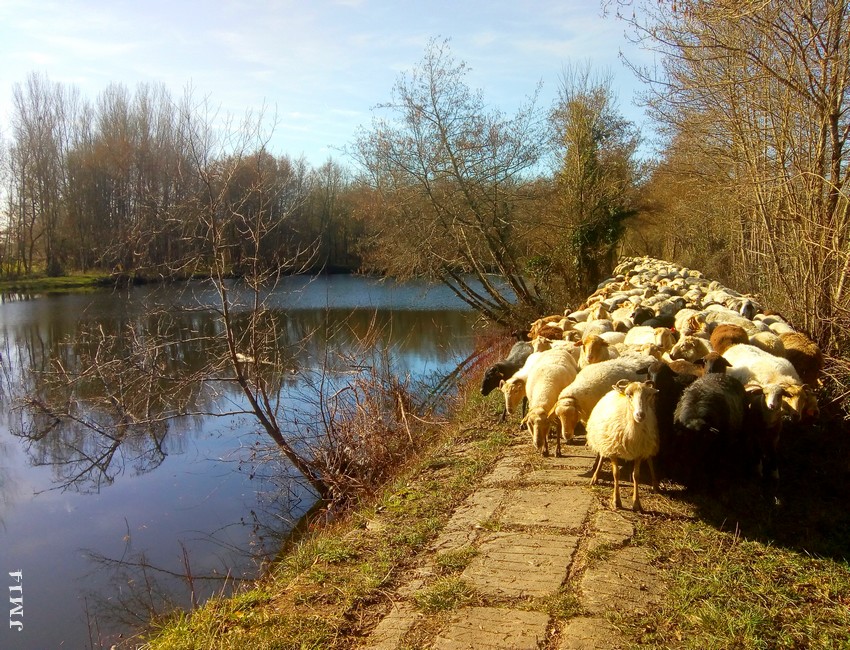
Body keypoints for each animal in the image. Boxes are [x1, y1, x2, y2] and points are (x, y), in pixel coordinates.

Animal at [586, 379, 660, 512]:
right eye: (628, 395)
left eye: (648, 395)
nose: (640, 415)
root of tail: (614, 391)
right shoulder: (612, 450)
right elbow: (616, 474)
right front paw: (616, 501)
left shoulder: (639, 451)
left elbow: (636, 475)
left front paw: (636, 503)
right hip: (603, 439)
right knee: (601, 456)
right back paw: (595, 477)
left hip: (649, 442)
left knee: (650, 460)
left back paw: (655, 484)